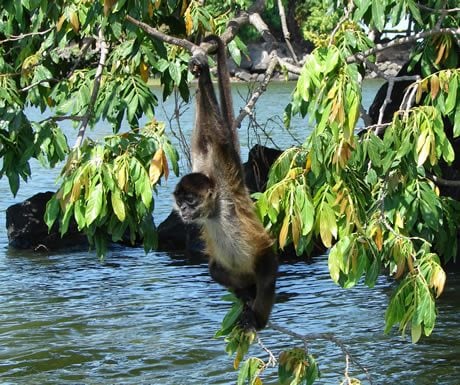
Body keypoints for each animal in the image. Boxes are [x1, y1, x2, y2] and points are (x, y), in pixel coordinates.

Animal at [174, 36, 276, 330]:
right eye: (179, 201)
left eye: (190, 200)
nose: (183, 210)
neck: (216, 209)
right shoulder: (205, 166)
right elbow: (200, 143)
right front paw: (200, 71)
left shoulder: (222, 173)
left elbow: (216, 138)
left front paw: (203, 69)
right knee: (217, 270)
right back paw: (245, 295)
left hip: (264, 257)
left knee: (265, 274)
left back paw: (257, 315)